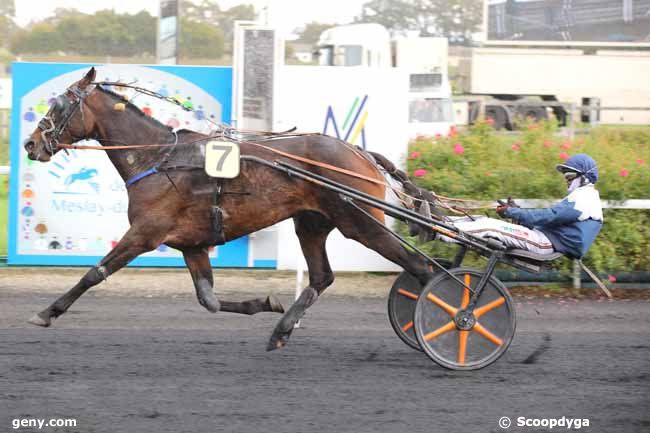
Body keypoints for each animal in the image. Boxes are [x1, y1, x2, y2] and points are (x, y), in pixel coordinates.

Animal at [24, 68, 430, 352]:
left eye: (58, 105)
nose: (30, 143)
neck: (158, 158)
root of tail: (360, 152)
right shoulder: (192, 245)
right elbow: (209, 299)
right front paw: (265, 302)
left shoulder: (144, 233)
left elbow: (95, 273)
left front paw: (46, 313)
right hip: (312, 223)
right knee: (321, 277)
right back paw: (281, 331)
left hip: (361, 222)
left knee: (421, 267)